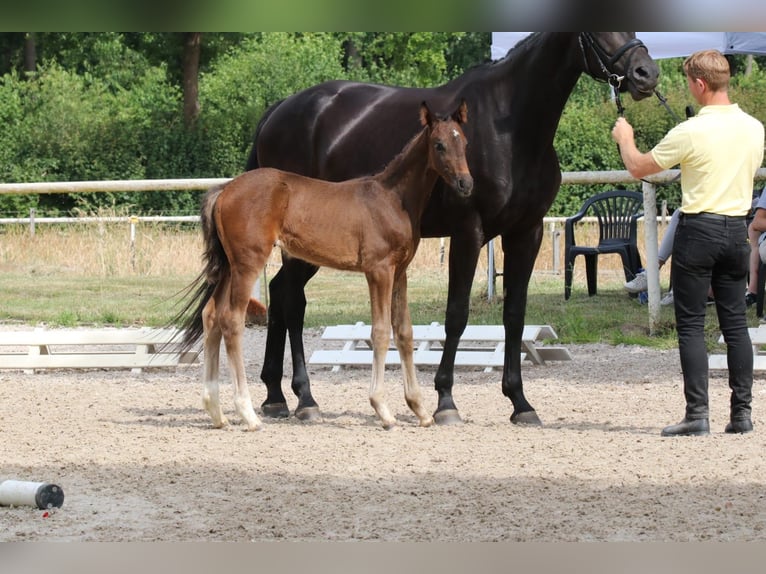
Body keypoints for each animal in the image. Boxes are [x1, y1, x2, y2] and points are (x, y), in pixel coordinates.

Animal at [177, 101, 473, 430]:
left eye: (464, 143)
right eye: (439, 144)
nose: (466, 183)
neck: (393, 198)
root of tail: (224, 191)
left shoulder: (400, 272)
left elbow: (405, 333)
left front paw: (420, 410)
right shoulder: (378, 270)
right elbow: (381, 332)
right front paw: (382, 409)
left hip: (229, 266)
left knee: (211, 316)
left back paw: (216, 412)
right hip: (247, 263)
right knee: (231, 320)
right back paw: (248, 414)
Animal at [247, 32, 660, 426]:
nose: (646, 74)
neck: (512, 127)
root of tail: (277, 112)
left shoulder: (527, 233)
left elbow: (515, 314)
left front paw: (520, 402)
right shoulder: (468, 233)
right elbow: (457, 314)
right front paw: (446, 400)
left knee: (280, 292)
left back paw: (275, 396)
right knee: (292, 301)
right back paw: (304, 399)